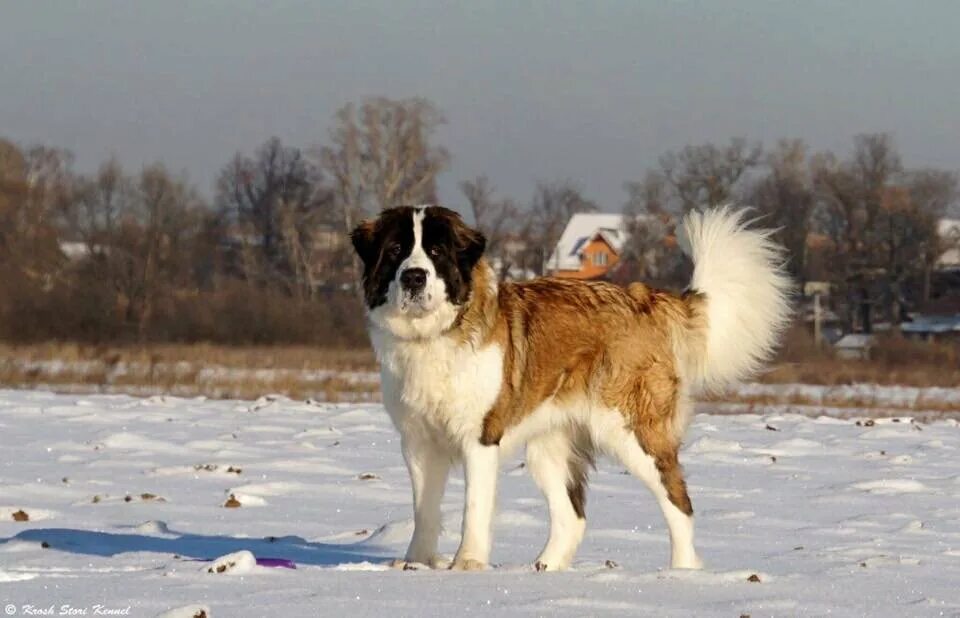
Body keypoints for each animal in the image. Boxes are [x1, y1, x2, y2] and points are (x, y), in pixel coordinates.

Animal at [348, 205, 792, 572]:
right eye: (396, 251)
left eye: (437, 252)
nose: (414, 276)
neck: (433, 337)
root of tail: (643, 298)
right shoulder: (418, 441)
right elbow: (424, 507)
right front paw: (416, 565)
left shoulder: (480, 437)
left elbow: (473, 506)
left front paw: (467, 564)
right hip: (550, 447)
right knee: (572, 516)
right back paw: (544, 569)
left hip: (633, 432)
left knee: (678, 501)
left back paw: (681, 574)